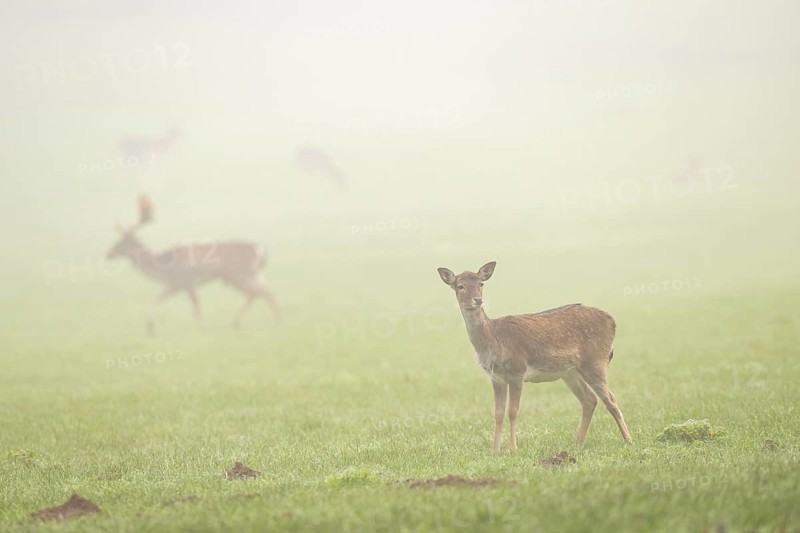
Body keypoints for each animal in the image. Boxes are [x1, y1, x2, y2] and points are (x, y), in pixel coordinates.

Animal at [107, 196, 281, 334]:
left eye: (120, 243)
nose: (108, 254)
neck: (162, 268)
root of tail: (259, 250)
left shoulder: (187, 281)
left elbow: (195, 305)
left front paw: (204, 329)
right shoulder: (174, 284)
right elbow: (157, 299)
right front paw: (150, 328)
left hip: (239, 274)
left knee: (262, 292)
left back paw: (278, 320)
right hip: (254, 274)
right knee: (260, 292)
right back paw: (240, 322)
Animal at [437, 261, 631, 452]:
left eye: (481, 284)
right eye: (460, 286)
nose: (478, 300)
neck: (492, 339)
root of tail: (612, 321)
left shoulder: (517, 369)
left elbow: (512, 411)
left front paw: (513, 449)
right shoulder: (495, 377)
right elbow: (498, 413)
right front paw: (495, 451)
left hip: (596, 361)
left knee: (611, 399)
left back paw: (628, 440)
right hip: (570, 372)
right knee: (589, 400)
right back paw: (577, 444)